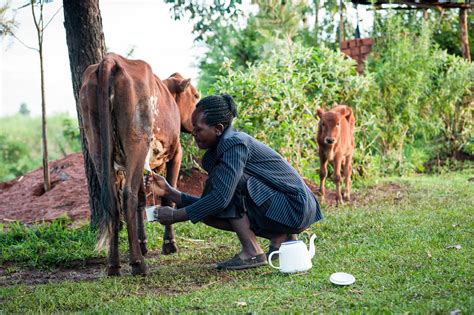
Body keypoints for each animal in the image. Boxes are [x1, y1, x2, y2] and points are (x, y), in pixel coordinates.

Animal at [79, 52, 198, 276]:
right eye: (195, 95)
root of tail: (110, 60)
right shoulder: (176, 153)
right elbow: (166, 197)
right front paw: (169, 244)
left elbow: (143, 200)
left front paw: (143, 243)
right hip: (137, 142)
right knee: (129, 196)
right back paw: (137, 264)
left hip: (96, 145)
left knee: (114, 200)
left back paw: (114, 264)